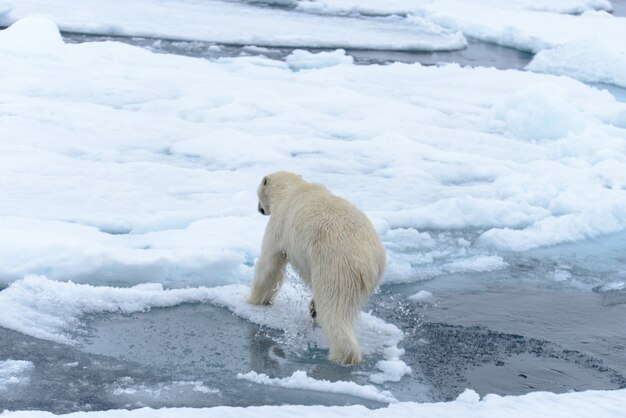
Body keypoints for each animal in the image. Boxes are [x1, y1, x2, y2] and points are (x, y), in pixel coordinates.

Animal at [247, 171, 386, 364]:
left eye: (258, 193)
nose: (259, 208)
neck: (293, 190)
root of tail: (367, 261)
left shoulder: (279, 226)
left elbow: (269, 265)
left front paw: (252, 299)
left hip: (335, 267)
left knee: (334, 309)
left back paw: (341, 354)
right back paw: (314, 310)